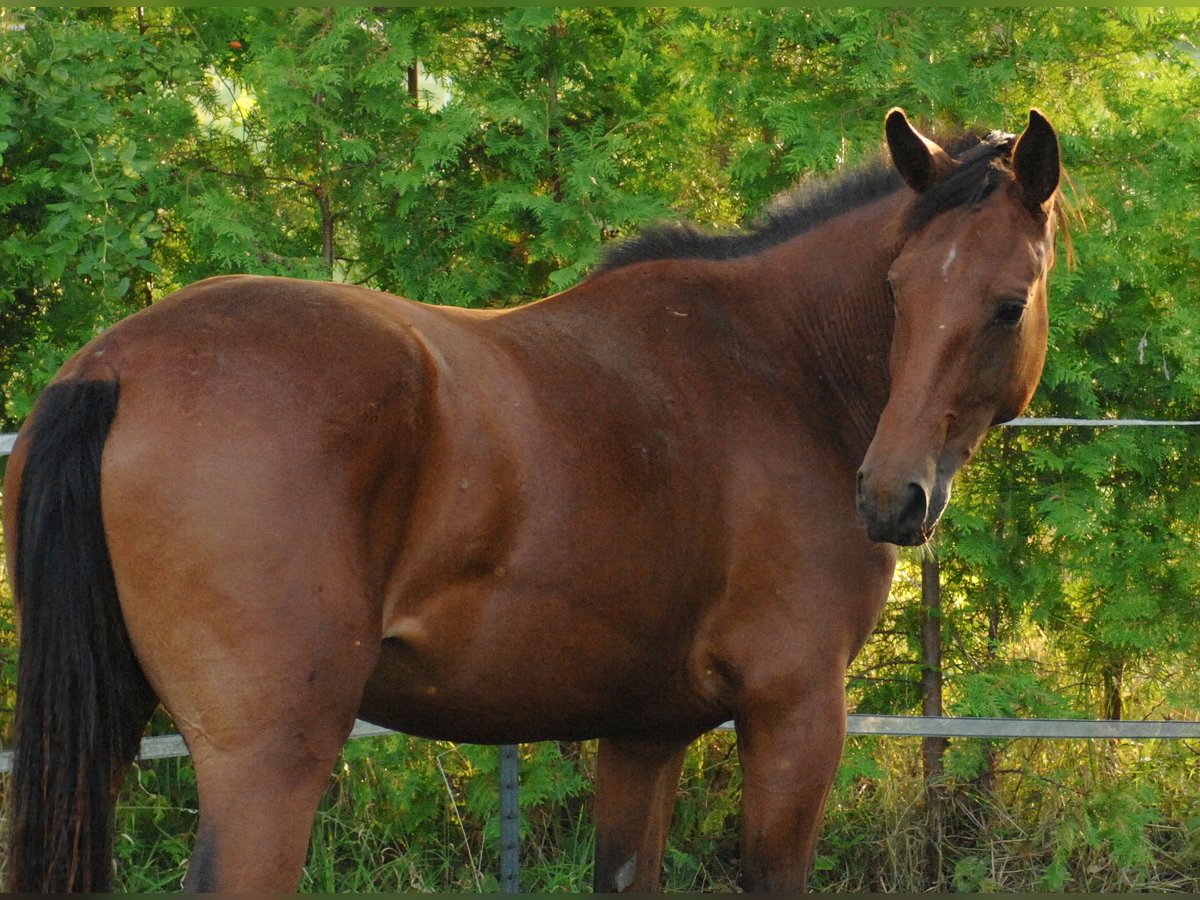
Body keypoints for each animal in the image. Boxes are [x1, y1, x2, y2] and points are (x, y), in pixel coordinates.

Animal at [7, 107, 1060, 897]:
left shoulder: (643, 735)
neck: (781, 369)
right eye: (898, 291)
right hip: (268, 763)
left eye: (1005, 304)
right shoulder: (795, 715)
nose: (890, 496)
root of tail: (112, 367)